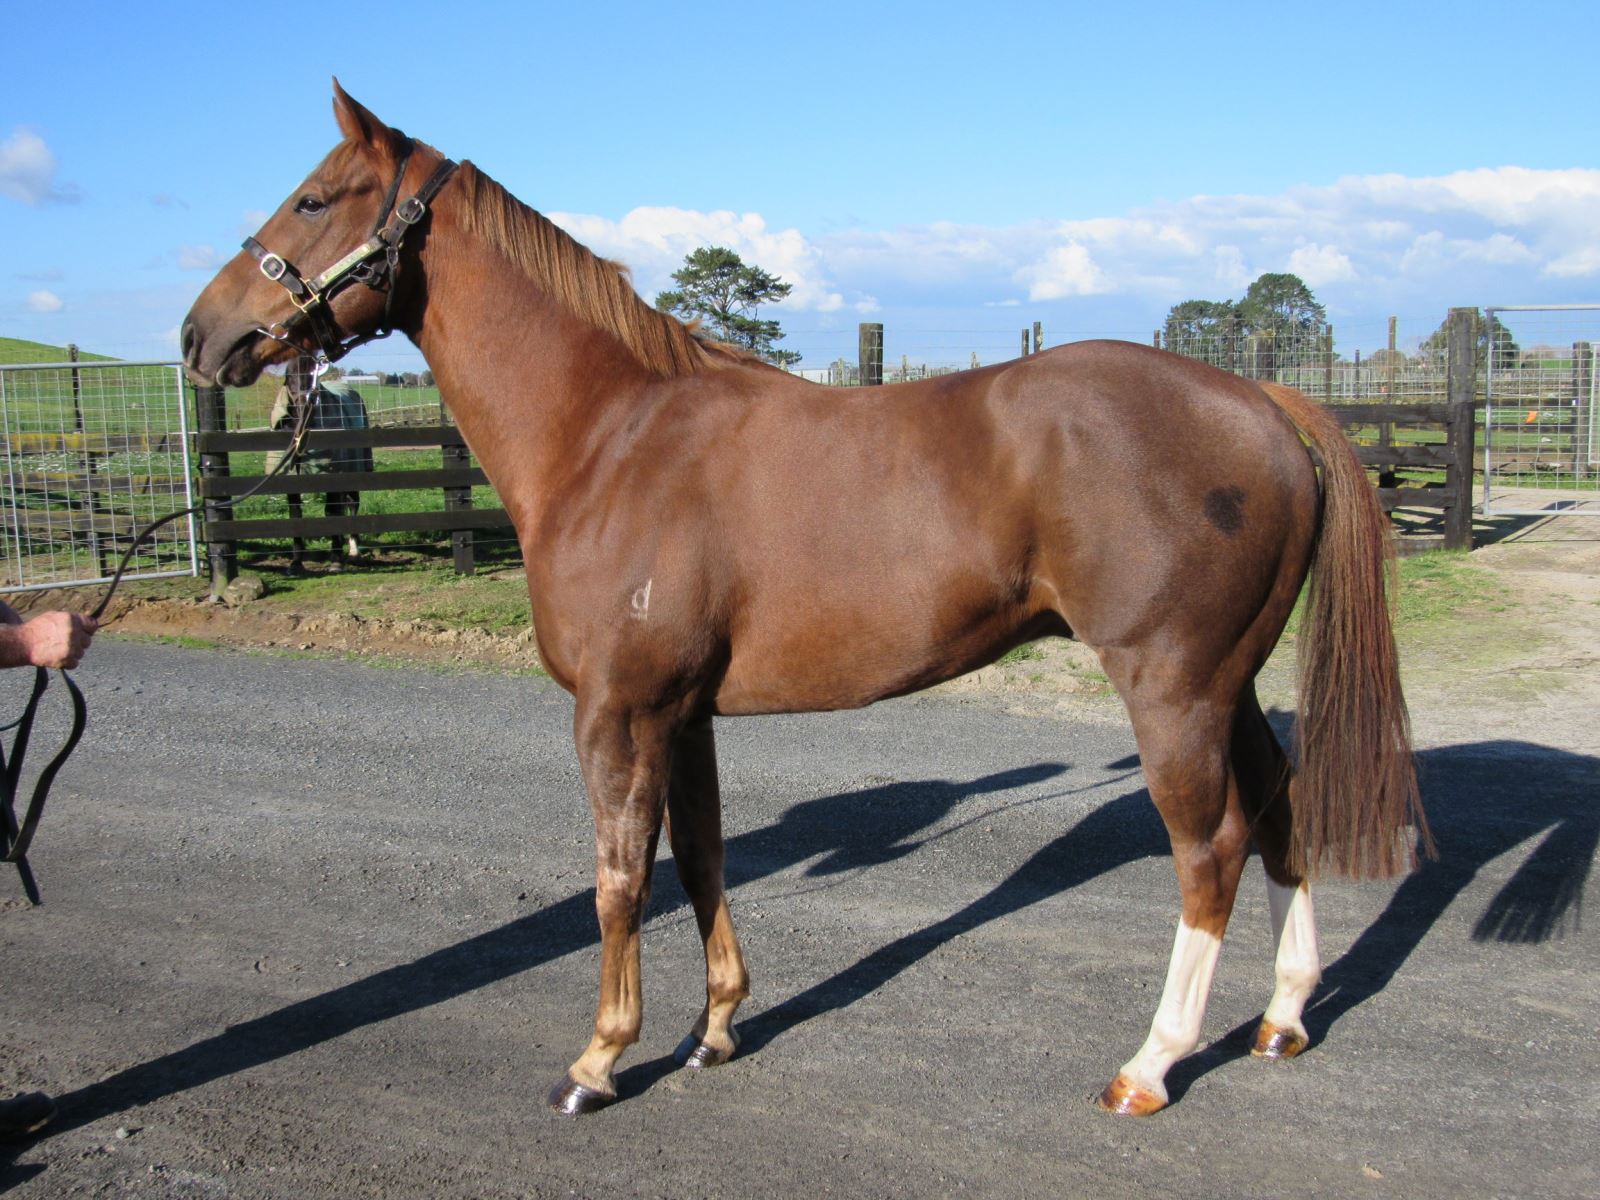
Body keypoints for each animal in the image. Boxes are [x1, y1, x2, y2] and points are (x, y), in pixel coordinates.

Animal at [182, 82, 1432, 1118]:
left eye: (312, 198)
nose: (201, 334)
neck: (611, 434)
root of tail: (1260, 399)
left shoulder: (616, 713)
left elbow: (618, 881)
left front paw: (599, 1059)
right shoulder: (681, 715)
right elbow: (703, 857)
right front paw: (715, 1027)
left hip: (1171, 688)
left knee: (1208, 851)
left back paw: (1150, 1065)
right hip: (1228, 684)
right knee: (1278, 812)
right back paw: (1281, 1018)